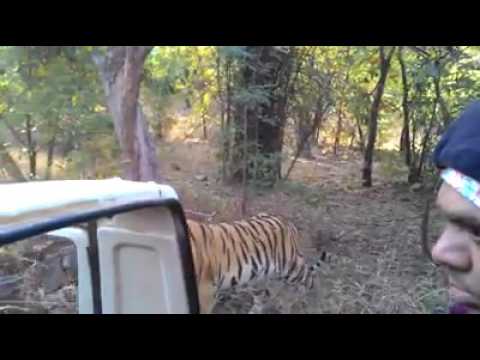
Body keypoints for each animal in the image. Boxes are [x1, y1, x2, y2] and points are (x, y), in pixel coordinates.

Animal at [185, 212, 330, 314]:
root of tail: (287, 223)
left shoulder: (206, 293)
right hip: (257, 277)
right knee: (261, 297)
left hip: (291, 267)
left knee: (309, 277)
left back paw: (308, 299)